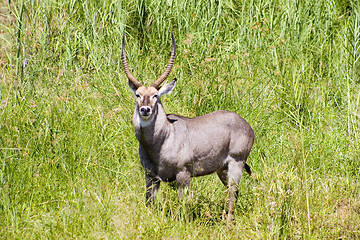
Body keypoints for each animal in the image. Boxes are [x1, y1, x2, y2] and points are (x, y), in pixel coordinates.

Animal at [122, 32, 255, 219]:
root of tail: (246, 124)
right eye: (137, 94)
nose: (145, 109)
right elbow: (149, 202)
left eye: (156, 95)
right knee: (233, 192)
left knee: (232, 192)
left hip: (237, 163)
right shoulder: (150, 176)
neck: (161, 140)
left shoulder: (183, 175)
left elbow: (182, 205)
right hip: (222, 169)